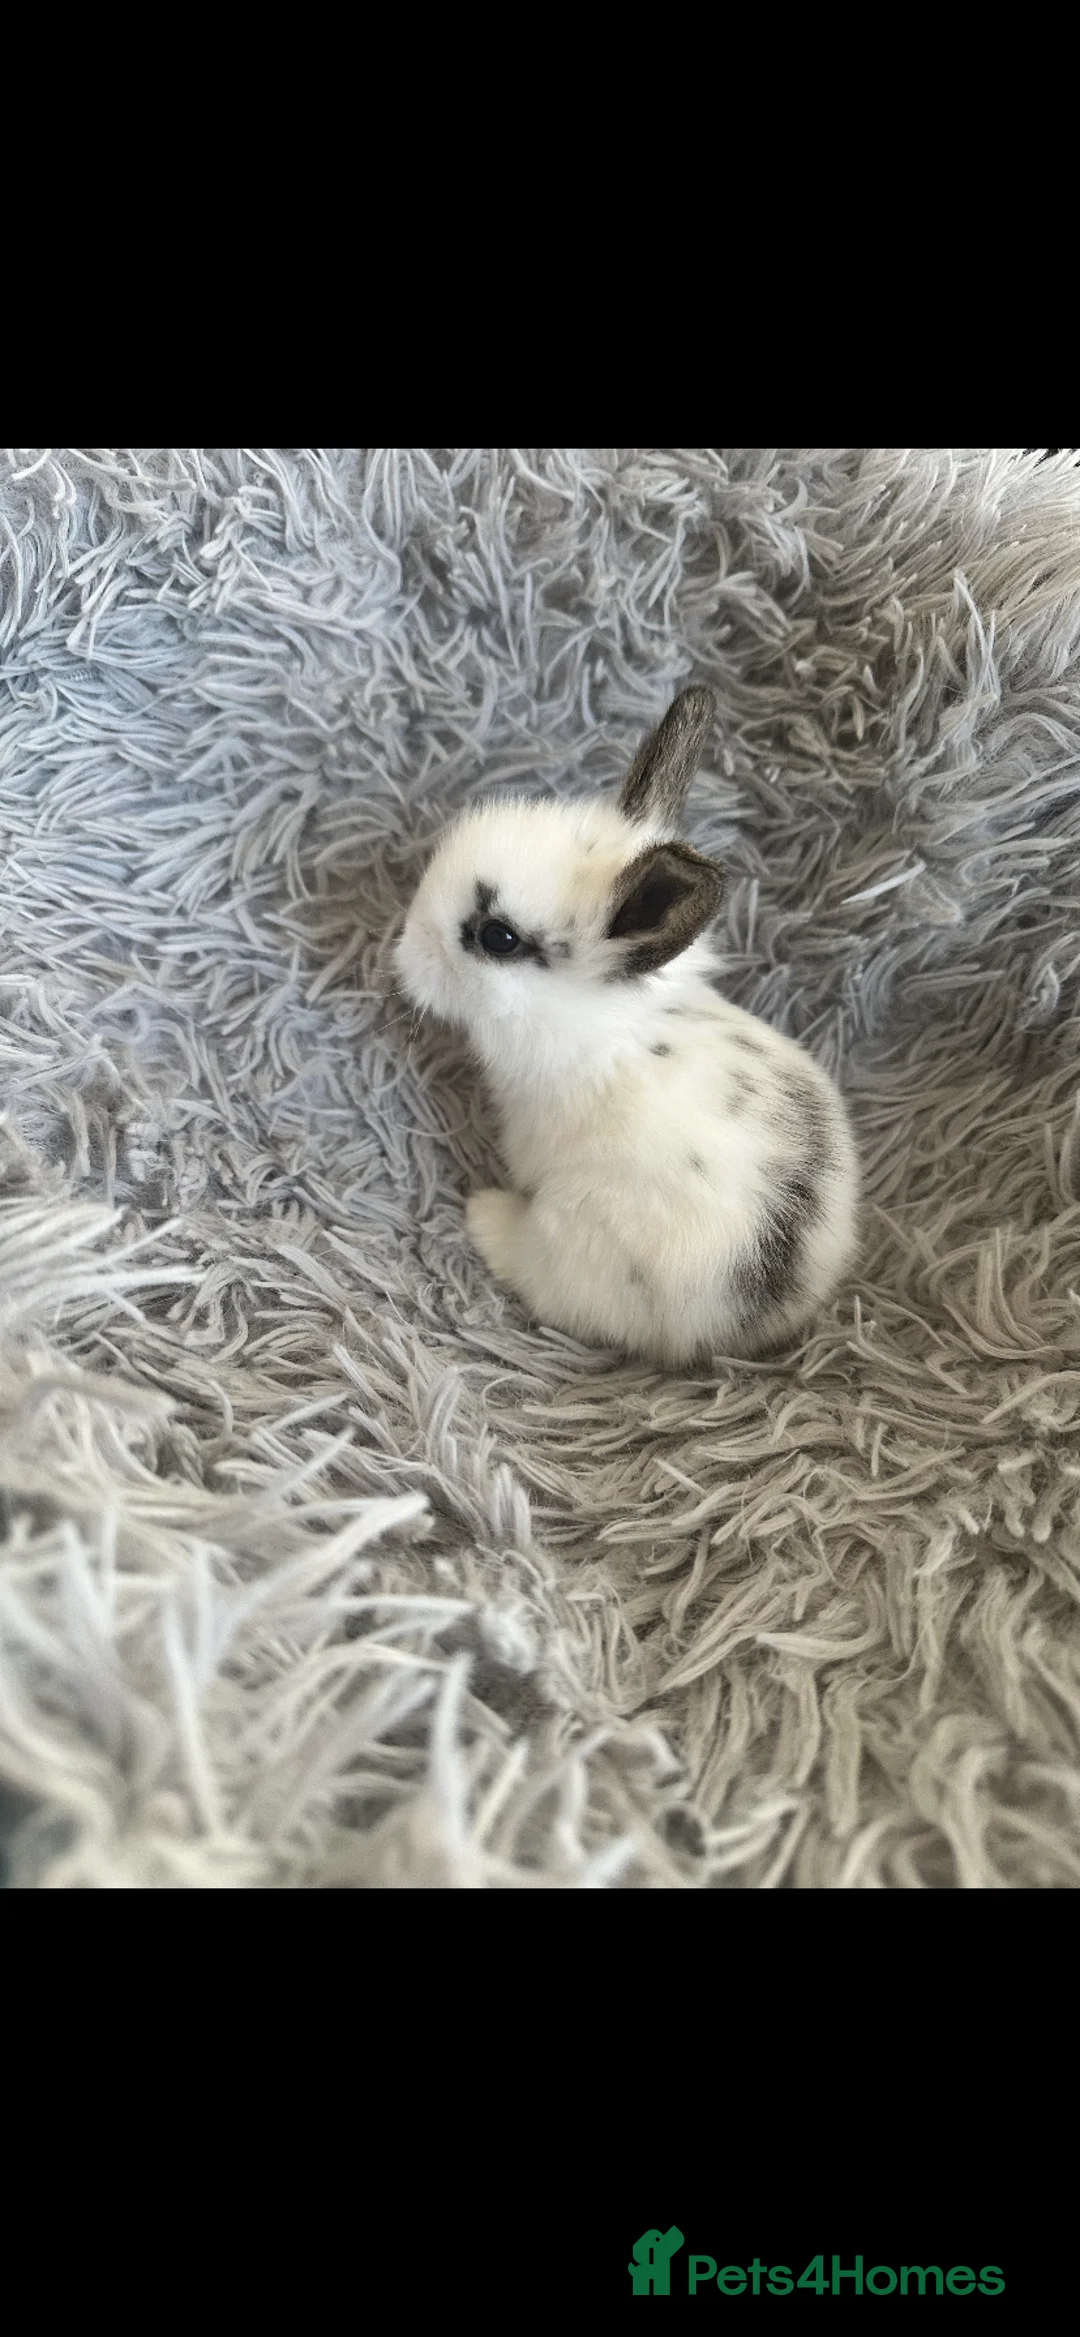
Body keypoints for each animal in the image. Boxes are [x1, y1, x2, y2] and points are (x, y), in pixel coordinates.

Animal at [393, 684, 859, 1367]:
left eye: (498, 938)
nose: (402, 949)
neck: (601, 1026)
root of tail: (756, 1319)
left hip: (573, 1235)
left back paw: (485, 1214)